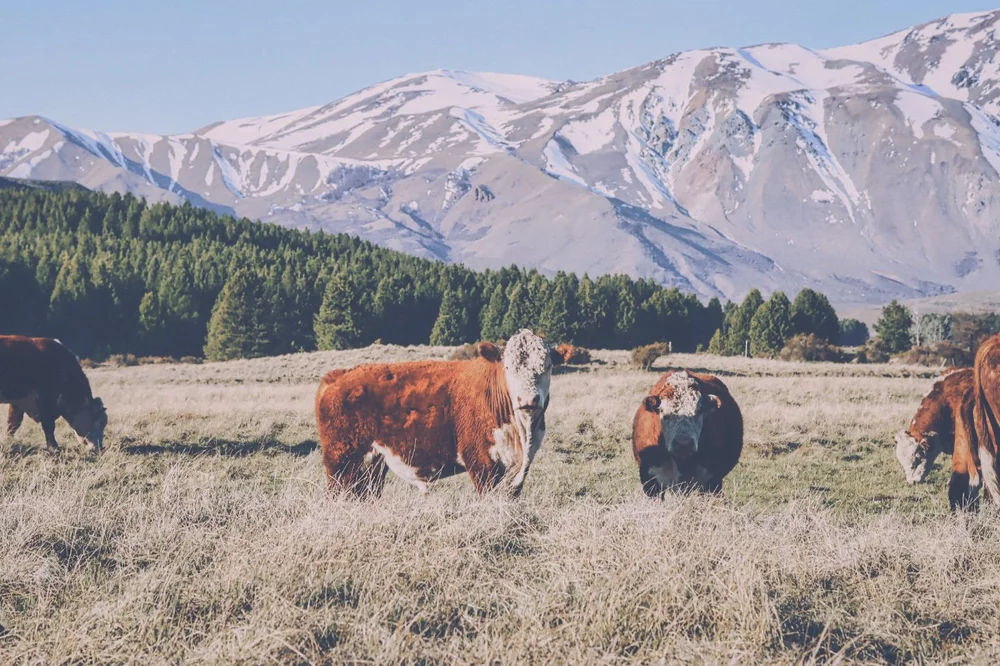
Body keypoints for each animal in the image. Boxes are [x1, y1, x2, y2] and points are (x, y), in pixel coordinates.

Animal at [315, 329, 565, 498]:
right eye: (508, 368)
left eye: (547, 367)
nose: (528, 400)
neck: (523, 433)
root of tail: (339, 375)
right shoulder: (481, 462)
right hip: (342, 463)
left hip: (371, 466)